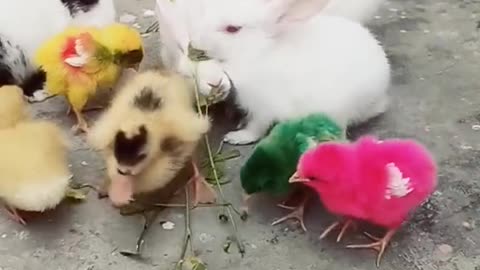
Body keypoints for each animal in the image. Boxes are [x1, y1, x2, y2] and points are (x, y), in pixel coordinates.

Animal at [156, 0, 392, 144]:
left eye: (232, 29)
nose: (196, 41)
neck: (256, 52)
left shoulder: (262, 107)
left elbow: (256, 128)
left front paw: (237, 137)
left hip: (338, 111)